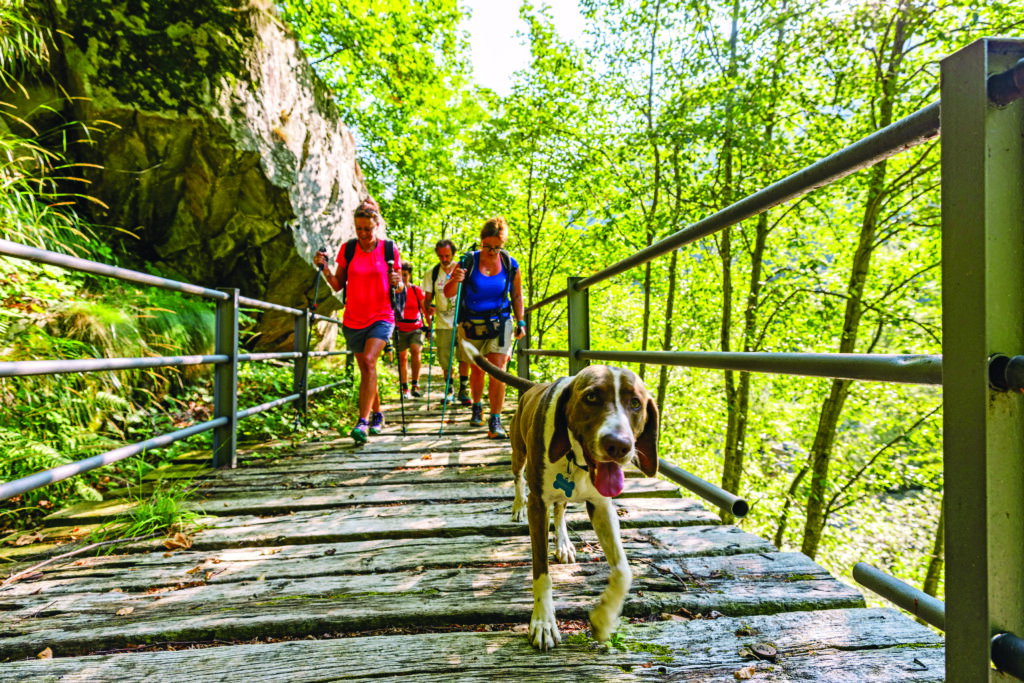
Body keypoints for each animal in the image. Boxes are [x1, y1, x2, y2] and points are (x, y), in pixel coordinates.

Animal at [460, 339, 659, 651]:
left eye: (636, 403)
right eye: (591, 397)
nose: (618, 445)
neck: (574, 456)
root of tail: (533, 386)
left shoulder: (601, 505)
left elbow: (624, 570)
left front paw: (604, 618)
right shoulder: (538, 505)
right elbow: (541, 572)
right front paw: (543, 622)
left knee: (562, 509)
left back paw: (563, 542)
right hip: (518, 454)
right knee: (519, 480)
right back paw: (517, 505)